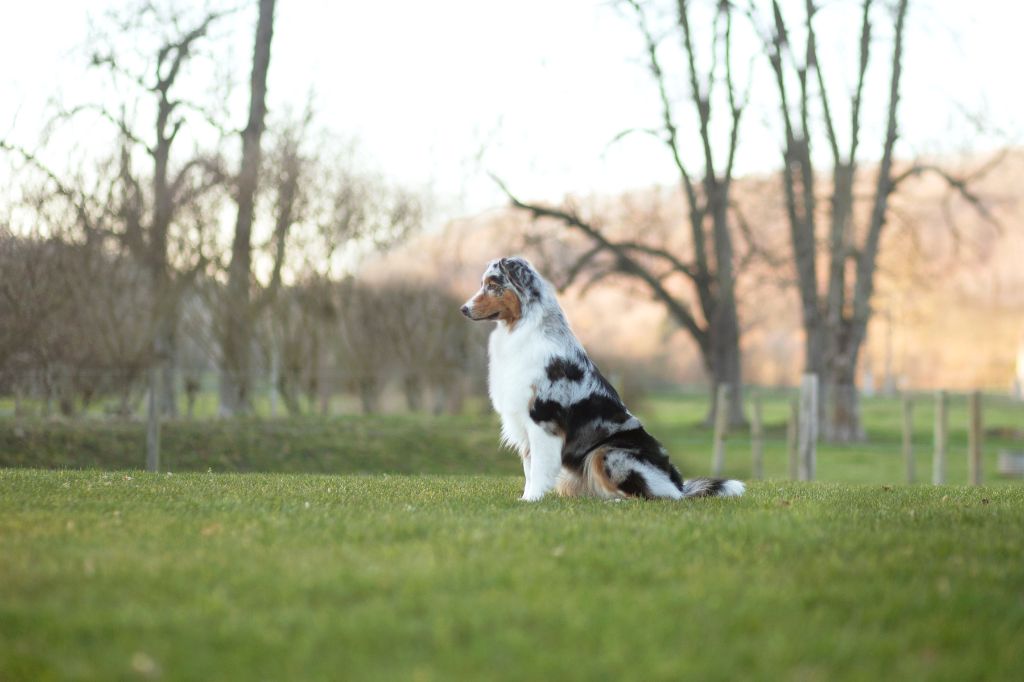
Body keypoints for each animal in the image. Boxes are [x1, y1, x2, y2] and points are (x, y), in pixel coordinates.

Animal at [462, 254, 745, 499]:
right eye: (483, 284)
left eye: (492, 285)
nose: (463, 309)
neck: (521, 327)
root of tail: (678, 484)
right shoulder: (524, 423)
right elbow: (529, 469)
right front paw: (526, 497)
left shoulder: (543, 420)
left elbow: (539, 468)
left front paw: (532, 501)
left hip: (606, 452)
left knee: (650, 497)